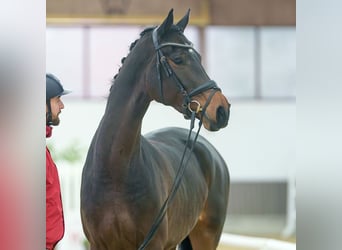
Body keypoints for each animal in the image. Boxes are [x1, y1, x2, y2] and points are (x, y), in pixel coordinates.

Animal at [80, 8, 230, 249]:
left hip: (206, 237)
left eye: (198, 57)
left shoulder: (153, 243)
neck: (114, 172)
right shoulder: (98, 244)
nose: (221, 109)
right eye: (178, 59)